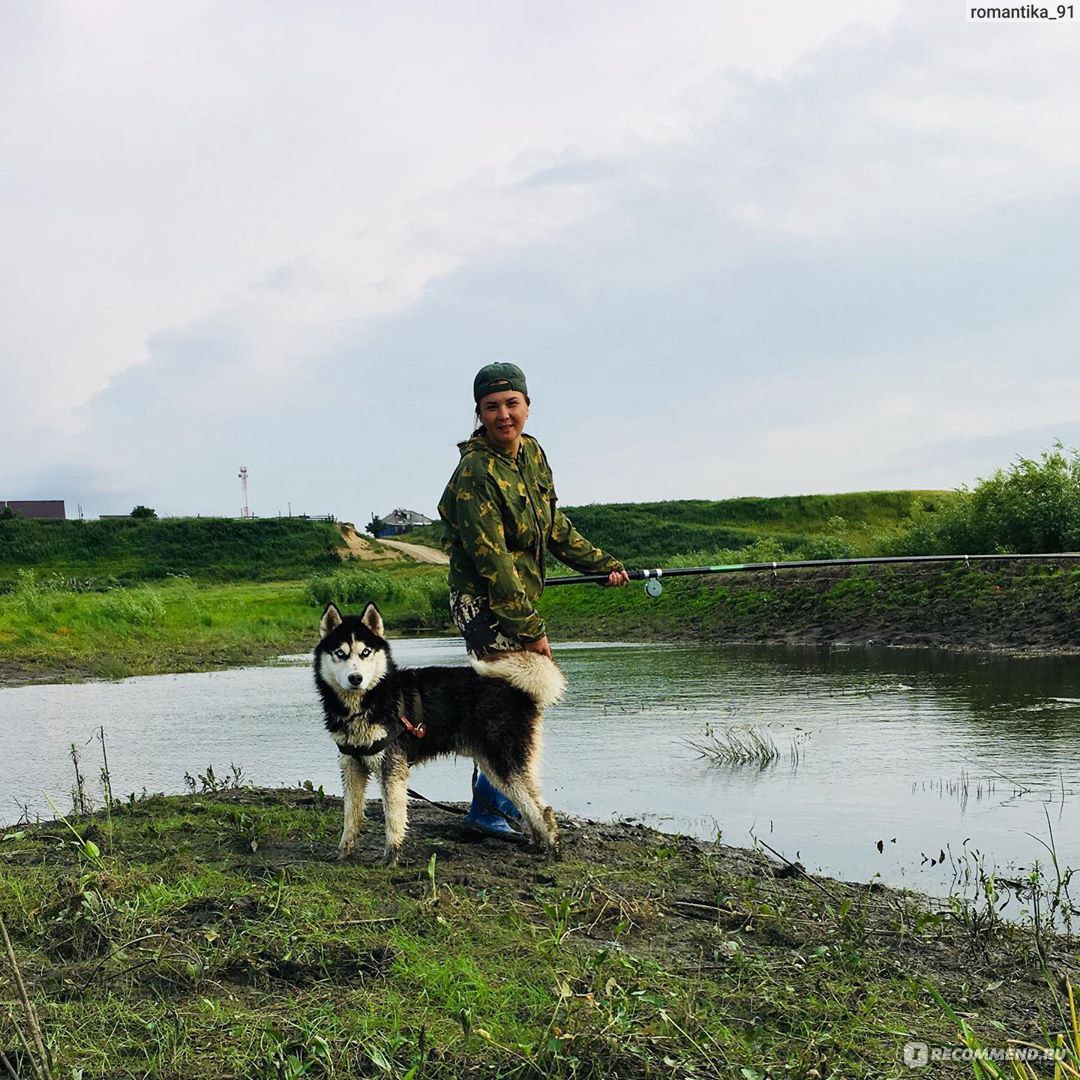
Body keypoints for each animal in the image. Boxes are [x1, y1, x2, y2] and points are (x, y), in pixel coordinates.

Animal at [315, 604, 561, 864]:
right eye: (340, 653)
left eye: (365, 652)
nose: (356, 679)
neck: (367, 703)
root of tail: (520, 691)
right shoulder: (351, 764)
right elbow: (350, 815)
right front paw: (343, 851)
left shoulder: (392, 768)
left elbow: (392, 818)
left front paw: (391, 857)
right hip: (494, 766)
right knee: (528, 805)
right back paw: (538, 844)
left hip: (504, 763)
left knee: (541, 808)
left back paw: (552, 850)